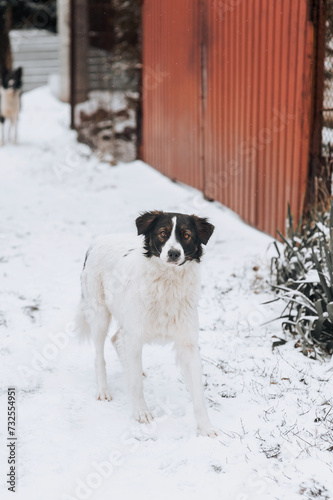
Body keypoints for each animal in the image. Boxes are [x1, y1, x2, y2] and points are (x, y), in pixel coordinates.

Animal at [77, 211, 218, 438]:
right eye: (162, 233)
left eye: (186, 235)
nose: (173, 253)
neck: (168, 283)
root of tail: (98, 241)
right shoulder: (135, 337)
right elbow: (136, 384)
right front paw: (141, 412)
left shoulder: (187, 344)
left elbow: (198, 393)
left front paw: (206, 427)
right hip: (99, 314)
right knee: (100, 355)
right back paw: (104, 390)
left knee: (117, 339)